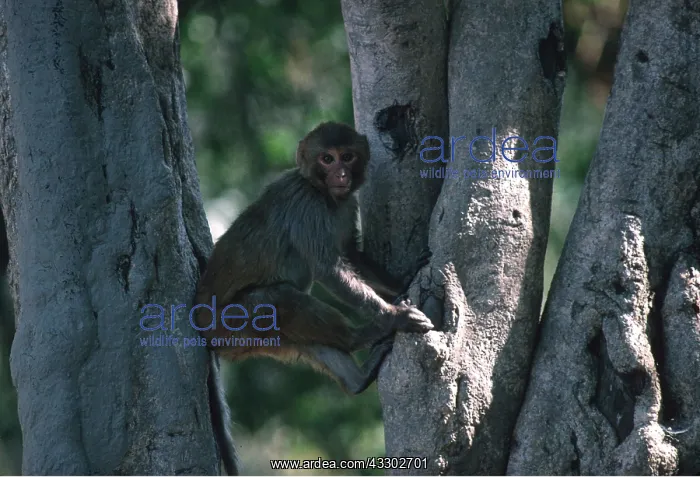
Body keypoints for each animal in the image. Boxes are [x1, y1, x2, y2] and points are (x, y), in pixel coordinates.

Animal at [196, 122, 433, 459]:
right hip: (228, 328)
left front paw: (402, 280)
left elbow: (350, 254)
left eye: (347, 156)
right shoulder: (307, 208)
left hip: (250, 342)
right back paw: (360, 336)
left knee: (299, 335)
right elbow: (328, 270)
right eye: (327, 159)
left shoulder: (347, 205)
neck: (323, 194)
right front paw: (394, 316)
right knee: (275, 299)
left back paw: (358, 379)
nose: (341, 174)